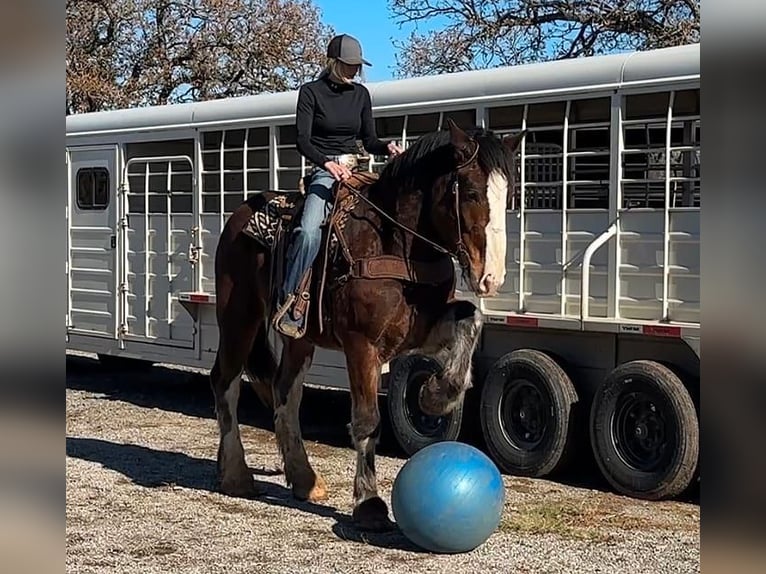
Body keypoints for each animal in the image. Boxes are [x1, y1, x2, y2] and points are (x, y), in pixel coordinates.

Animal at [207, 119, 524, 532]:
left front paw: (436, 396)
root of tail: (240, 215)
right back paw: (235, 474)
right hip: (238, 317)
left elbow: (471, 318)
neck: (395, 242)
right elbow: (367, 421)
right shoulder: (362, 345)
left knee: (285, 392)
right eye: (470, 192)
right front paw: (369, 503)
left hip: (299, 339)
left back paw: (305, 479)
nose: (491, 278)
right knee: (225, 381)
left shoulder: (418, 331)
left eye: (510, 195)